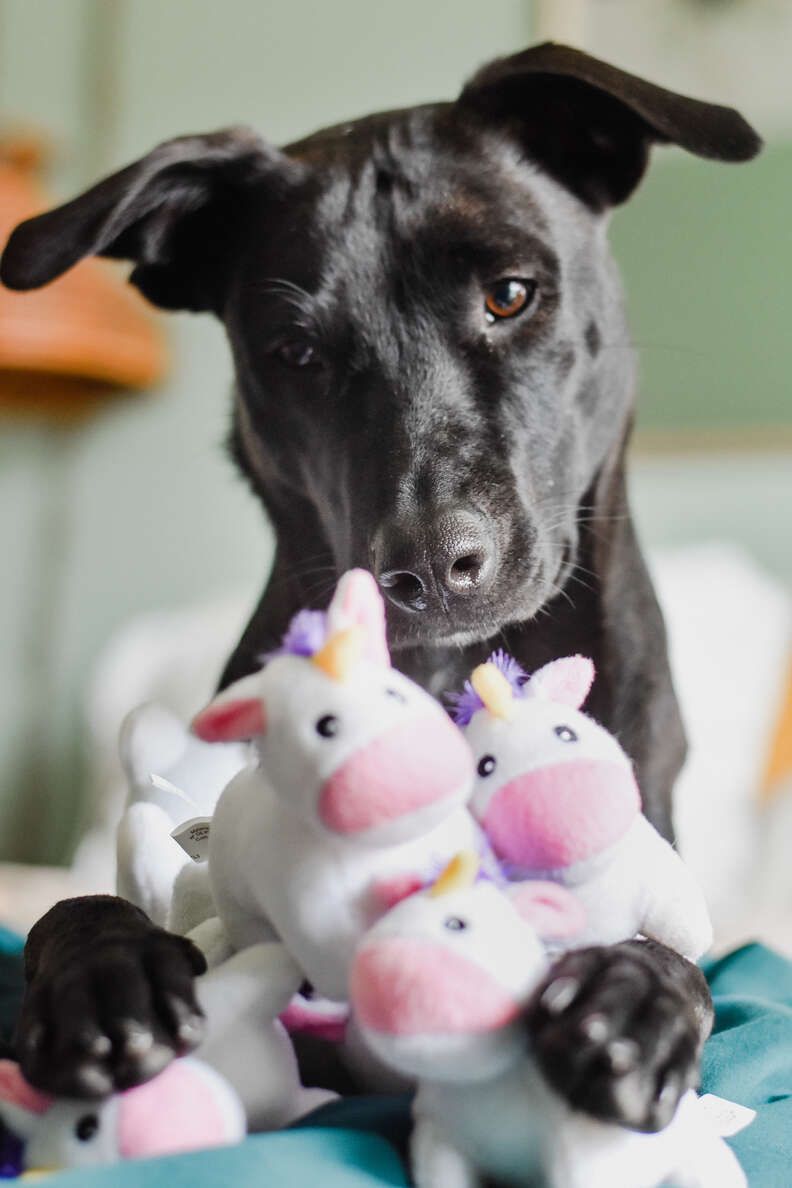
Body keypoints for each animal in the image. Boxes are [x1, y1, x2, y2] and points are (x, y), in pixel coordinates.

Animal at [0, 46, 759, 1135]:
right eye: (297, 353)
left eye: (511, 294)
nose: (434, 563)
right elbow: (74, 905)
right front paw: (105, 982)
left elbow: (675, 947)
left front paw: (632, 999)